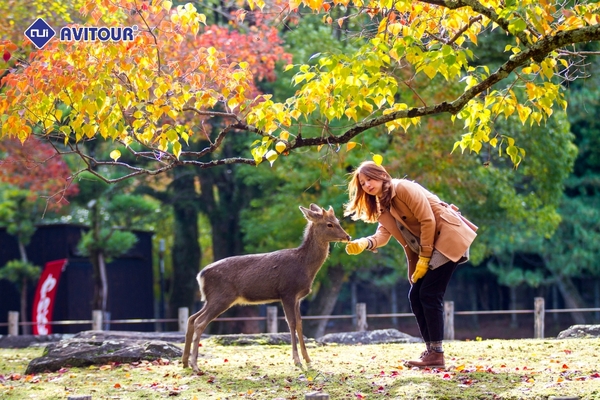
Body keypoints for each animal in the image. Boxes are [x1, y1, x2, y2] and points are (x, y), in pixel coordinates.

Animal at [183, 205, 352, 374]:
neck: (305, 266)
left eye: (338, 221)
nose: (348, 236)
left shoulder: (298, 298)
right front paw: (297, 361)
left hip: (211, 299)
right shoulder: (287, 292)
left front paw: (309, 360)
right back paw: (195, 365)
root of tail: (200, 275)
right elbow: (291, 323)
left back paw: (185, 362)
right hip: (221, 297)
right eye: (329, 224)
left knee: (191, 318)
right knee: (199, 322)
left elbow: (299, 323)